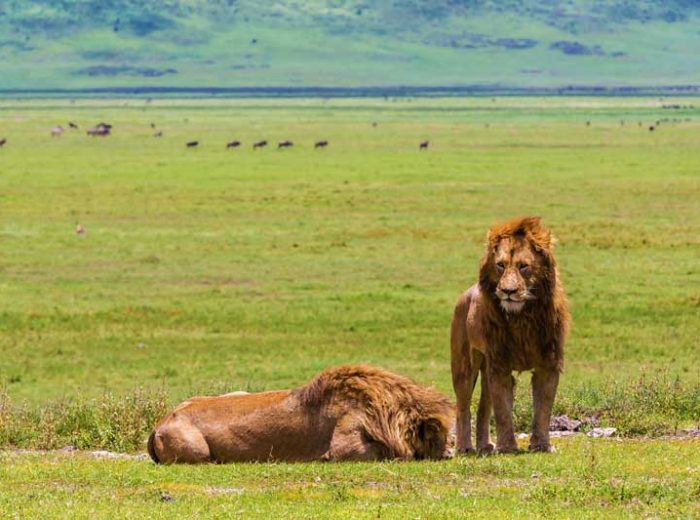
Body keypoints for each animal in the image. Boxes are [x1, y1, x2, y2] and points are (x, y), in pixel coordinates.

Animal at [149, 366, 454, 464]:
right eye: (439, 434)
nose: (451, 452)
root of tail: (160, 422)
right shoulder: (342, 448)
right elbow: (395, 452)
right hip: (197, 451)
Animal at [452, 217, 572, 452]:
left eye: (523, 266)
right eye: (500, 265)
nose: (507, 291)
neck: (522, 319)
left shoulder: (549, 364)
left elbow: (543, 410)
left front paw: (541, 445)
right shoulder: (499, 365)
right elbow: (503, 412)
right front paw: (508, 447)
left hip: (486, 367)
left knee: (483, 407)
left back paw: (485, 446)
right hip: (464, 365)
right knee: (463, 406)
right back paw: (464, 447)